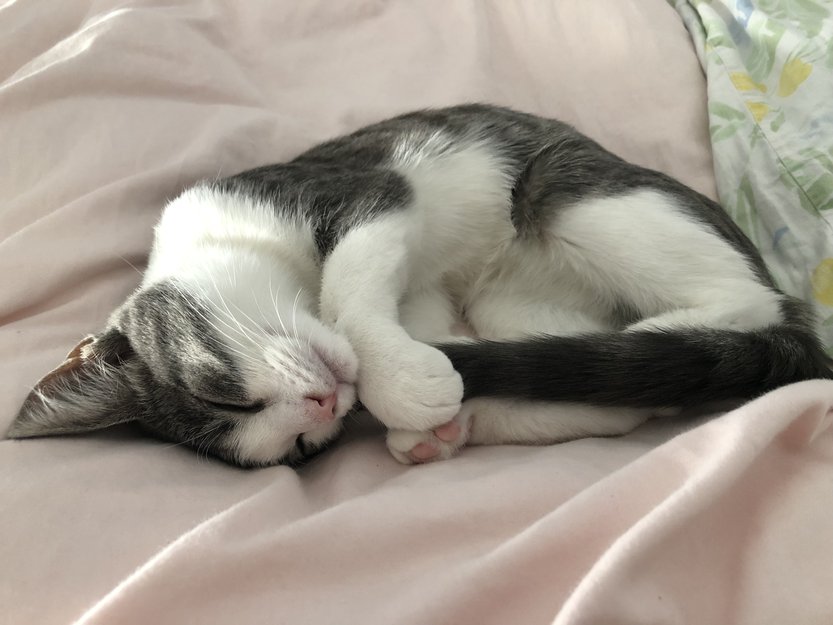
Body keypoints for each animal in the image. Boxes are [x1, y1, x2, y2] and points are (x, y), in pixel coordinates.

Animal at [7, 104, 830, 467]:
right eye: (303, 445)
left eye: (221, 393)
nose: (324, 403)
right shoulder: (424, 291)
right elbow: (418, 312)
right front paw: (428, 402)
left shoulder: (363, 186)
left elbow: (350, 281)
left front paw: (399, 380)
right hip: (514, 297)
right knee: (618, 388)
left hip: (571, 191)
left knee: (752, 303)